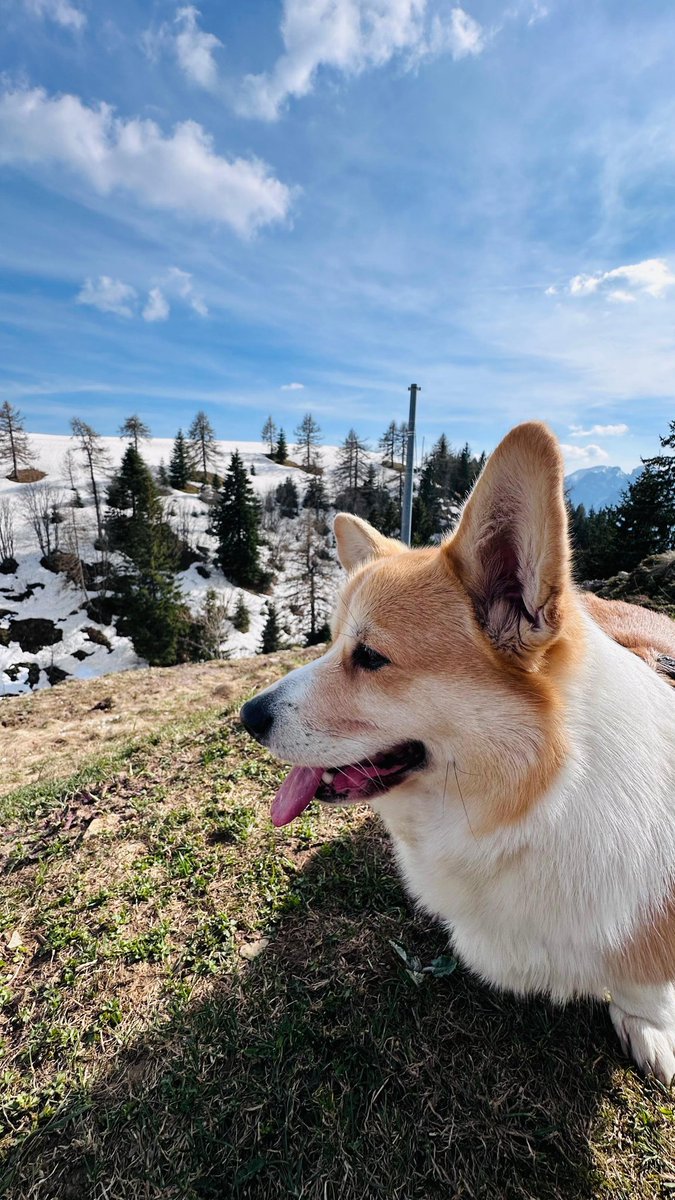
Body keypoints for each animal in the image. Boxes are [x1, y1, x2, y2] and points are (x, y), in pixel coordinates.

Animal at [241, 424, 672, 1089]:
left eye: (370, 657)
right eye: (332, 642)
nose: (247, 716)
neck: (538, 805)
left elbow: (644, 985)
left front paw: (646, 1025)